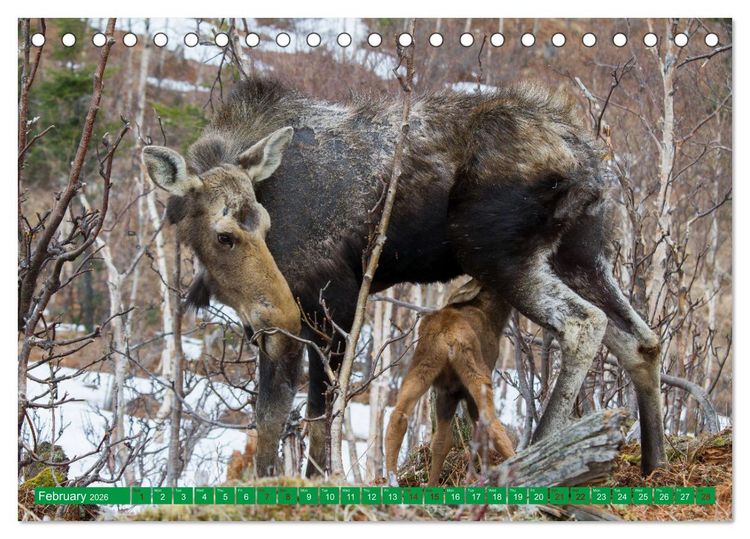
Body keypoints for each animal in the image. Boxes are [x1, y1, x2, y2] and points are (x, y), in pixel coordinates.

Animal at [385, 279, 516, 486]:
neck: (495, 317)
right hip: (477, 372)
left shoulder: (448, 392)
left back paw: (392, 479)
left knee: (398, 416)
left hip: (420, 366)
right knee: (492, 423)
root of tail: (448, 337)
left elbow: (441, 442)